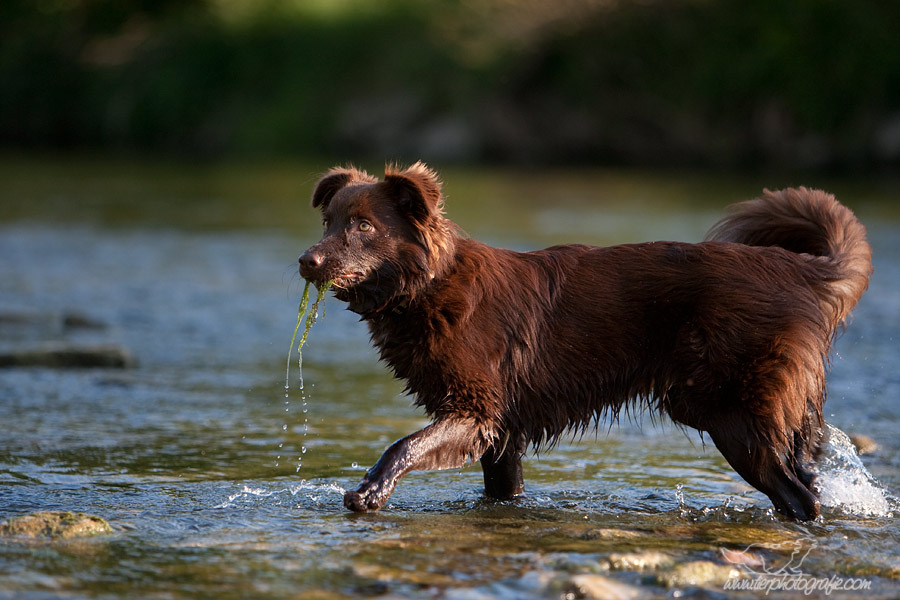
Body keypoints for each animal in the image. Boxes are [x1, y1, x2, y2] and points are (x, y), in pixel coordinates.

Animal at [298, 162, 872, 516]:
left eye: (364, 226)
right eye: (328, 222)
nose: (308, 260)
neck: (430, 285)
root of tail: (802, 270)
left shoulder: (475, 412)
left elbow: (405, 443)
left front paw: (371, 490)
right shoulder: (501, 433)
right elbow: (502, 490)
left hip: (728, 413)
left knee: (800, 500)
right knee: (806, 486)